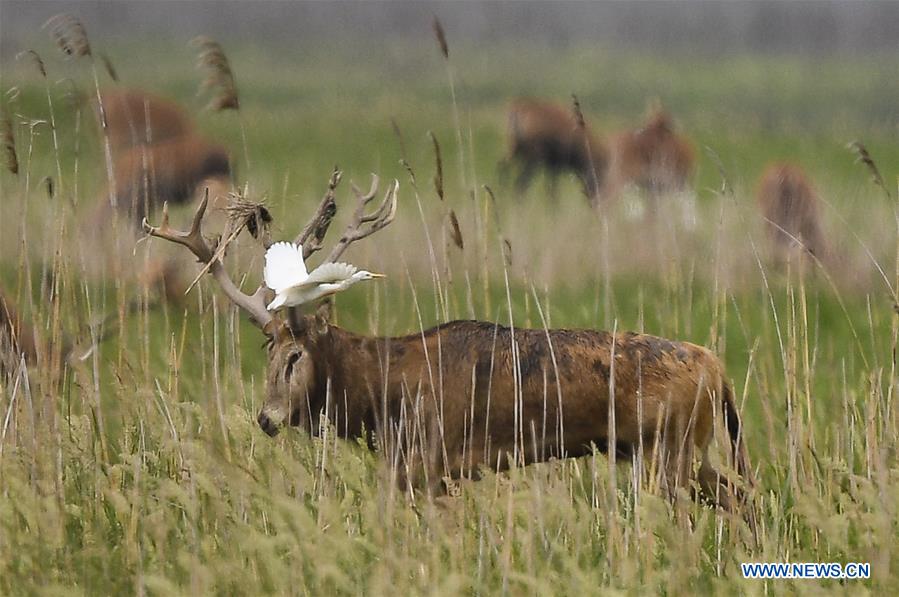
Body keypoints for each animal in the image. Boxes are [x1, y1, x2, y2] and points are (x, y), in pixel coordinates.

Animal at [144, 169, 752, 512]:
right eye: (265, 351)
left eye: (296, 354)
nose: (267, 418)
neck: (384, 395)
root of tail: (717, 368)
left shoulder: (427, 461)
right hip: (682, 450)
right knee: (742, 493)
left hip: (668, 448)